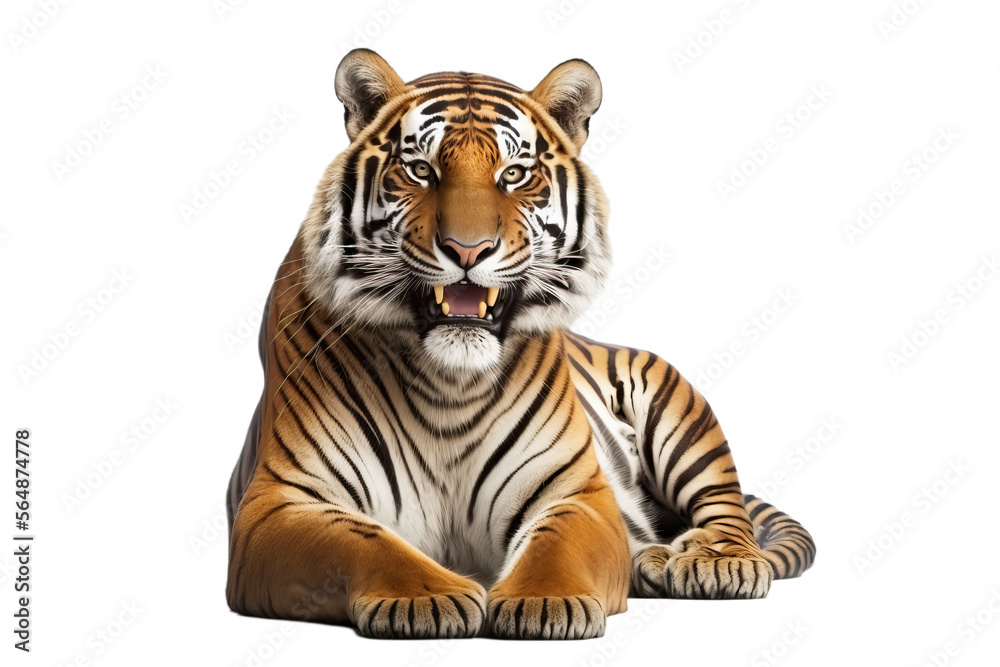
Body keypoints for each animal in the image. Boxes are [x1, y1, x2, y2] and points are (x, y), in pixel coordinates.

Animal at [225, 48, 816, 640]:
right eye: (421, 170)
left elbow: (555, 546)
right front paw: (427, 596)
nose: (468, 249)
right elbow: (365, 542)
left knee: (726, 508)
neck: (448, 384)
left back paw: (715, 562)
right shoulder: (279, 502)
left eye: (513, 174)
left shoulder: (574, 492)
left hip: (677, 408)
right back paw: (652, 560)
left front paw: (547, 600)